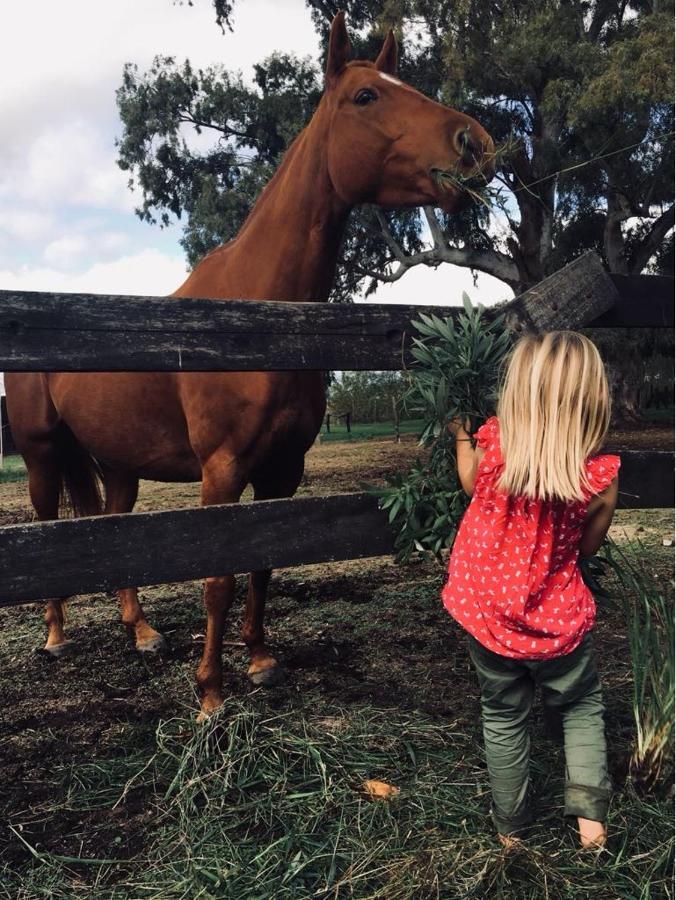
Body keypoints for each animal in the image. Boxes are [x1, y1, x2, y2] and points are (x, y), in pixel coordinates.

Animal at [2, 12, 494, 716]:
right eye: (365, 96)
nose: (475, 144)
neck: (259, 326)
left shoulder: (284, 468)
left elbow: (262, 565)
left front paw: (260, 660)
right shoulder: (222, 469)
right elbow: (219, 577)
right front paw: (210, 692)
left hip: (117, 461)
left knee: (115, 530)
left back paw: (142, 632)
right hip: (43, 455)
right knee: (48, 525)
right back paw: (55, 637)